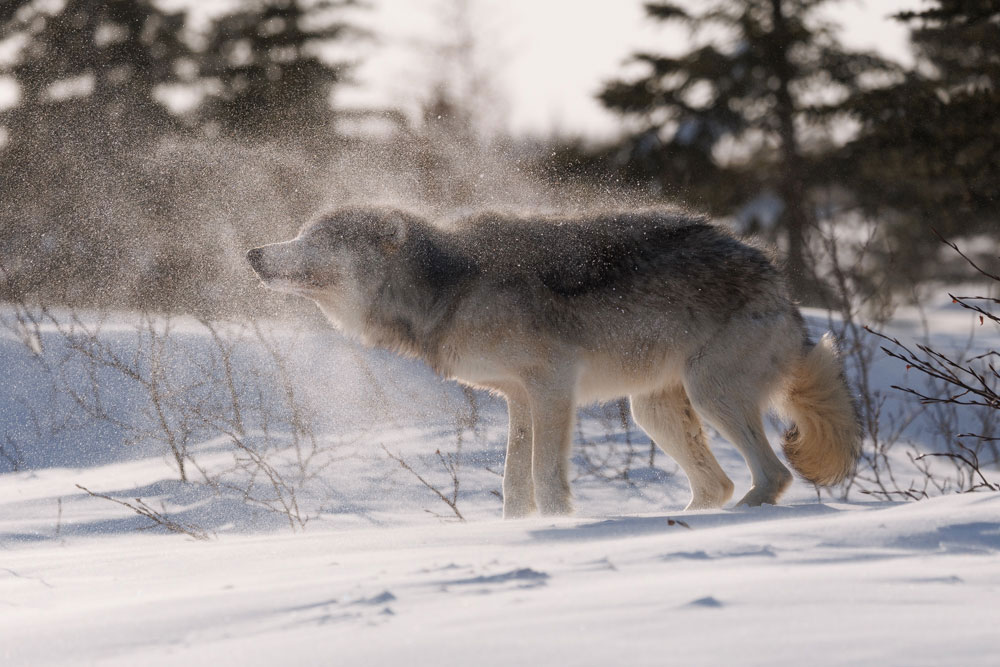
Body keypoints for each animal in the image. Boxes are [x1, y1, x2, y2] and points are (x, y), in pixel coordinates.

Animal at [247, 206, 859, 518]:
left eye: (316, 239)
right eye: (299, 232)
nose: (252, 253)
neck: (446, 287)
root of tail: (776, 278)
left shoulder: (553, 387)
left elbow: (545, 476)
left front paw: (560, 525)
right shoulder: (518, 398)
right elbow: (513, 482)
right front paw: (516, 528)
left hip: (711, 395)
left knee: (773, 475)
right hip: (653, 414)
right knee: (718, 484)